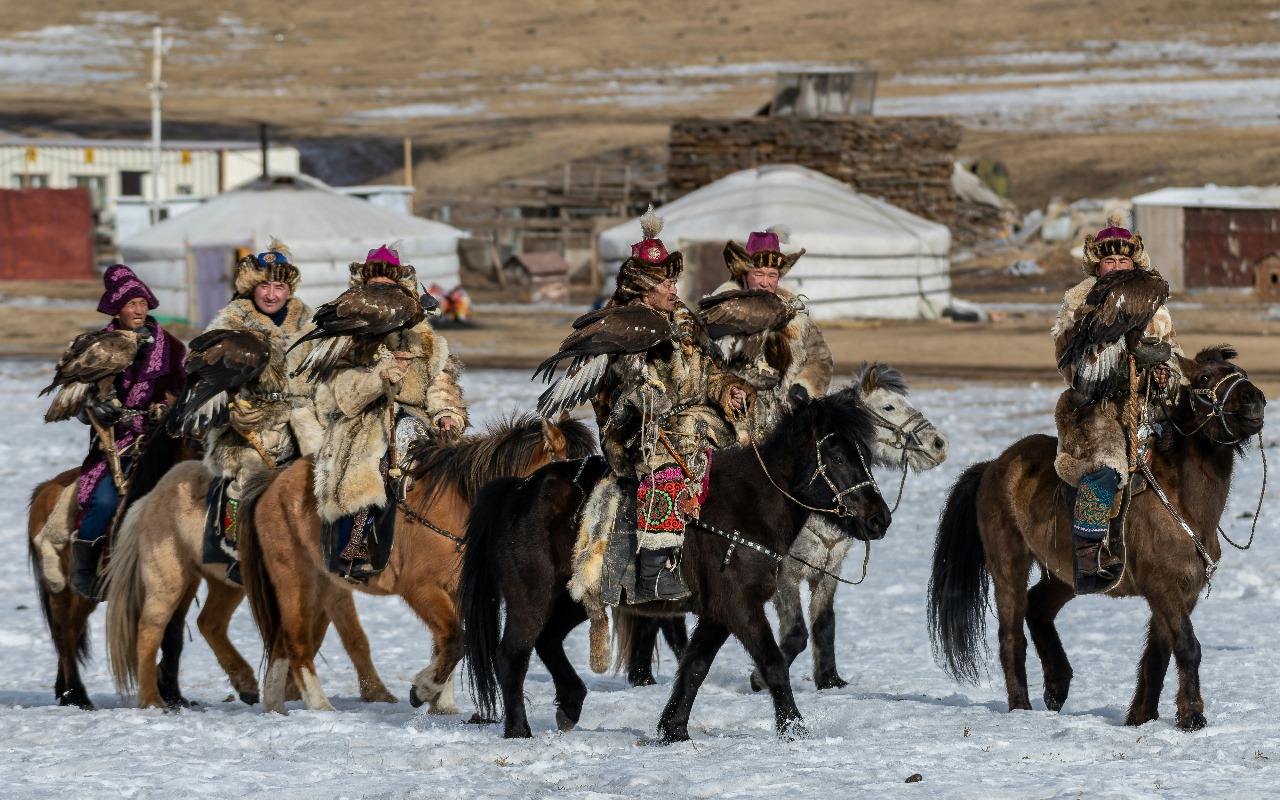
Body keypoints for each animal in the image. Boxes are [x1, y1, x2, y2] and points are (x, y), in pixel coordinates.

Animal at [241, 412, 596, 711]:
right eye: (573, 477)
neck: (459, 503)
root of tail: (273, 485)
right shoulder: (420, 590)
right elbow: (453, 641)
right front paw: (424, 690)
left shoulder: (456, 592)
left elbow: (446, 644)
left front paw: (442, 704)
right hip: (296, 581)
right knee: (297, 643)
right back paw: (320, 706)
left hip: (321, 584)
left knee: (281, 643)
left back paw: (275, 707)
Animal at [460, 384, 890, 737]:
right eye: (837, 455)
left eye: (865, 455)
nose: (879, 518)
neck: (748, 506)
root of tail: (517, 490)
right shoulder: (740, 606)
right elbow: (772, 664)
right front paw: (794, 729)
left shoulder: (718, 613)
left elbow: (695, 667)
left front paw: (673, 729)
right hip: (530, 597)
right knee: (512, 655)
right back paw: (519, 730)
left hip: (573, 598)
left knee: (547, 640)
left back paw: (570, 702)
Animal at [926, 345, 1264, 732]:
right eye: (1205, 377)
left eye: (1241, 373)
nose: (1255, 399)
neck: (1183, 504)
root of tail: (993, 466)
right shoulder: (1163, 587)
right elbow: (1187, 646)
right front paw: (1192, 716)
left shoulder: (1183, 592)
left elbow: (1158, 653)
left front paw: (1141, 717)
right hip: (1007, 564)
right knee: (1011, 635)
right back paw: (1022, 707)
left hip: (1068, 576)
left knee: (1038, 608)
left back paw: (1057, 686)